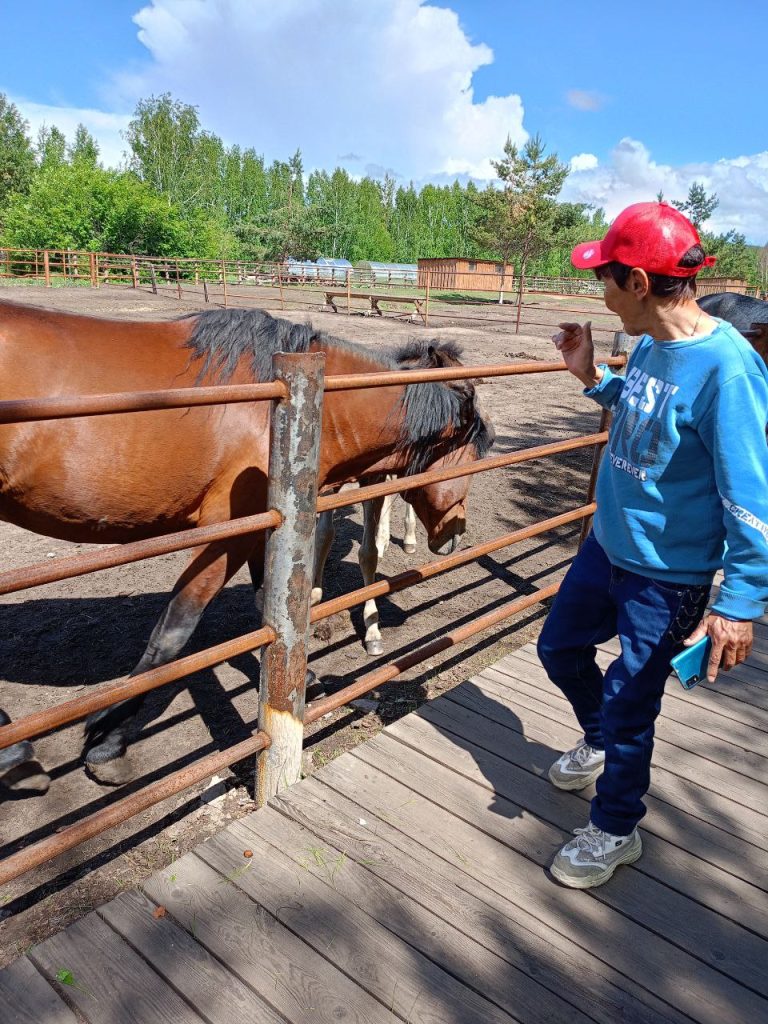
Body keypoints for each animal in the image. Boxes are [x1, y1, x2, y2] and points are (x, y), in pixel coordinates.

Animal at [0, 299, 493, 786]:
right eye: (470, 457)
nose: (456, 534)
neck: (288, 412)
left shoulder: (262, 528)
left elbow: (268, 609)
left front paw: (302, 679)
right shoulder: (228, 535)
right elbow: (173, 632)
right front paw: (107, 741)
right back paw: (19, 758)